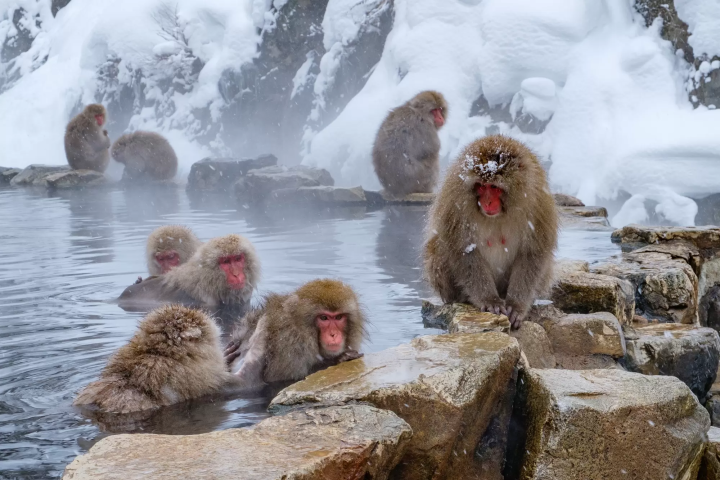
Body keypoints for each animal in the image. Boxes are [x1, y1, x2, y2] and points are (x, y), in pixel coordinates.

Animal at [223, 279, 366, 391]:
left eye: (338, 317)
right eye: (324, 318)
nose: (333, 335)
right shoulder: (290, 342)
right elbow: (281, 378)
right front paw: (339, 359)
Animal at [423, 135, 558, 329]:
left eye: (494, 187)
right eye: (481, 186)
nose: (486, 202)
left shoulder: (538, 201)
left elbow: (533, 253)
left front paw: (516, 306)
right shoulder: (455, 199)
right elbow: (463, 250)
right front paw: (489, 300)